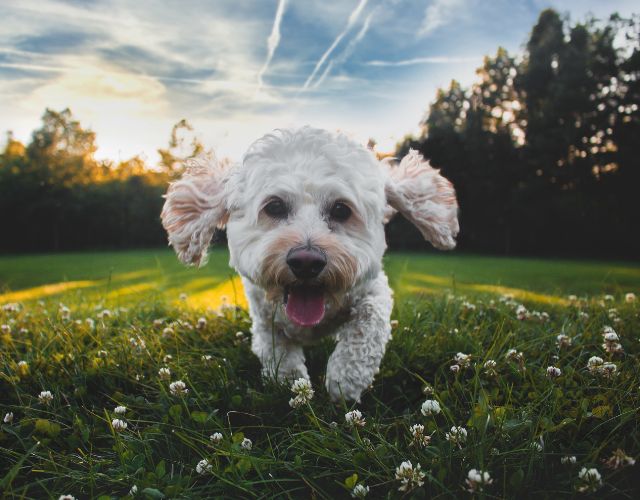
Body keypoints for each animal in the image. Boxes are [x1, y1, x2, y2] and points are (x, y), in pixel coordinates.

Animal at [162, 126, 458, 402]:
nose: (306, 262)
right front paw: (292, 385)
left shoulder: (373, 290)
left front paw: (344, 380)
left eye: (341, 210)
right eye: (274, 207)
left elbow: (366, 327)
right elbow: (278, 353)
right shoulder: (264, 317)